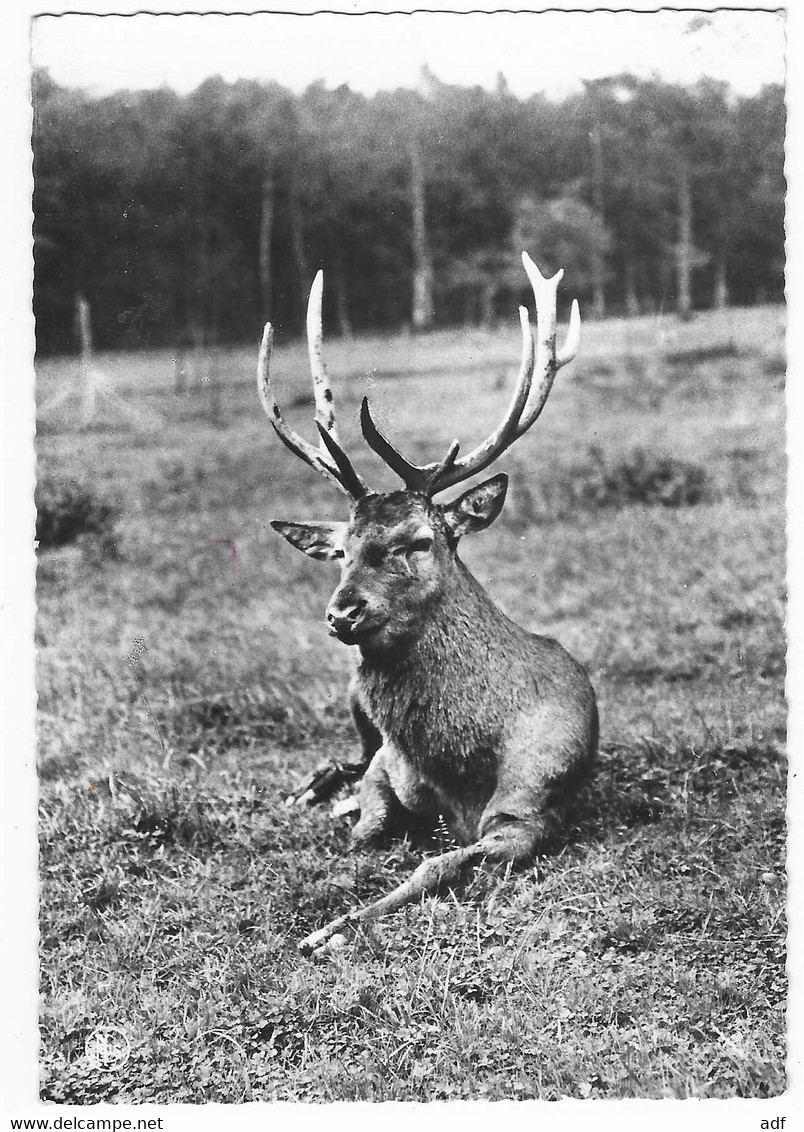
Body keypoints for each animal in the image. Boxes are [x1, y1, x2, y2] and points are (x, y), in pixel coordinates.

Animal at [258, 254, 597, 955]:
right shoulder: (387, 766)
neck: (459, 771)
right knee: (342, 759)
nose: (342, 613)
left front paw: (329, 931)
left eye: (417, 540)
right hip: (356, 715)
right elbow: (363, 830)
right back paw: (308, 793)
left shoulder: (531, 810)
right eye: (341, 550)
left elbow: (435, 863)